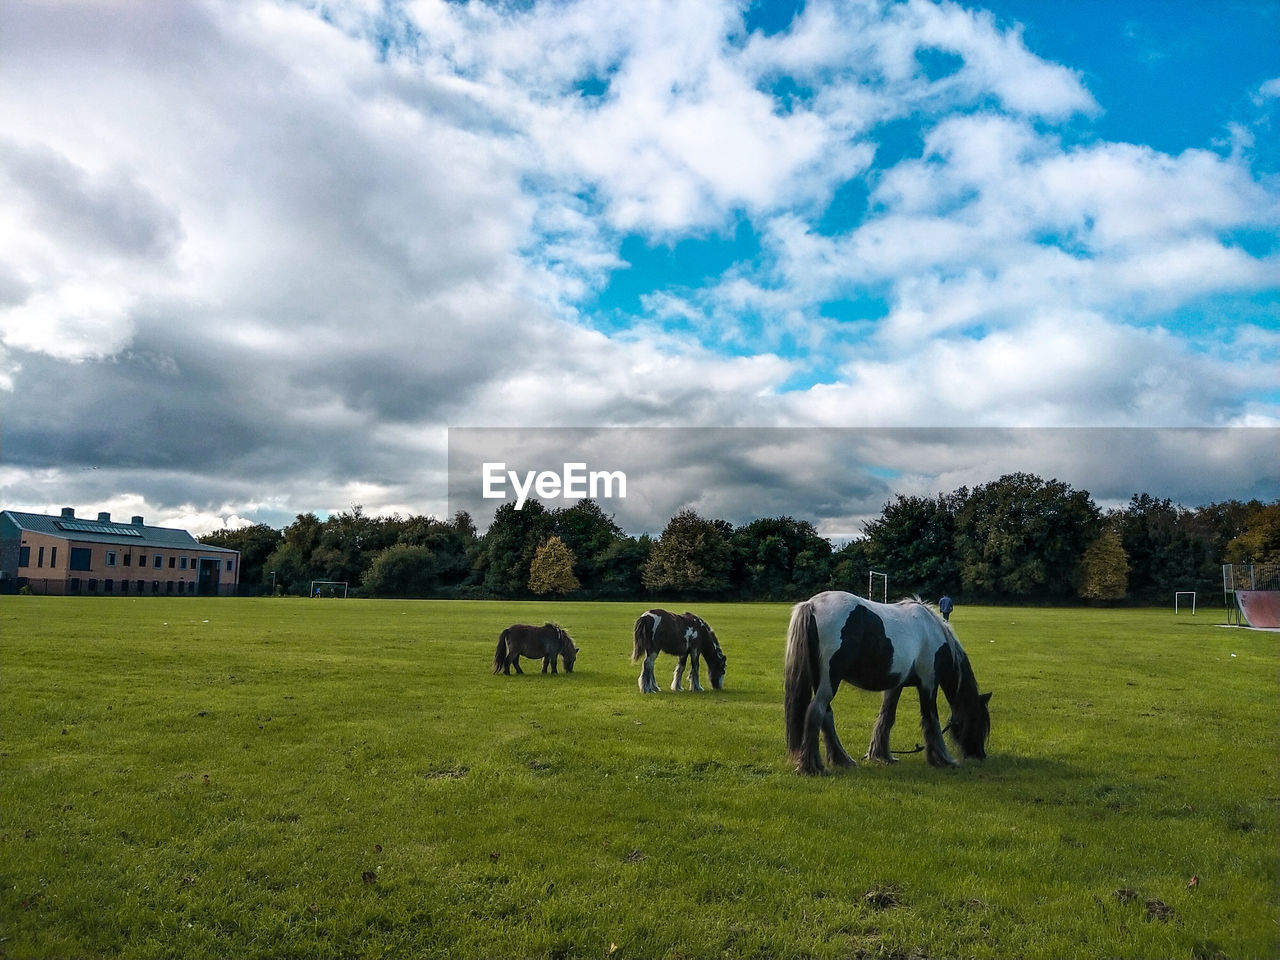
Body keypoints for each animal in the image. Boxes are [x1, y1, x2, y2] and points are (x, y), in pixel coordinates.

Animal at [778, 591, 988, 778]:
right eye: (979, 720)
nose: (980, 755)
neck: (932, 632)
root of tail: (812, 605)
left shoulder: (896, 685)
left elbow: (886, 717)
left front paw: (882, 755)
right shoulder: (928, 682)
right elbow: (931, 719)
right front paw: (943, 760)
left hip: (823, 681)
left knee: (826, 716)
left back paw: (842, 760)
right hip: (830, 680)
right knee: (816, 712)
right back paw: (813, 768)